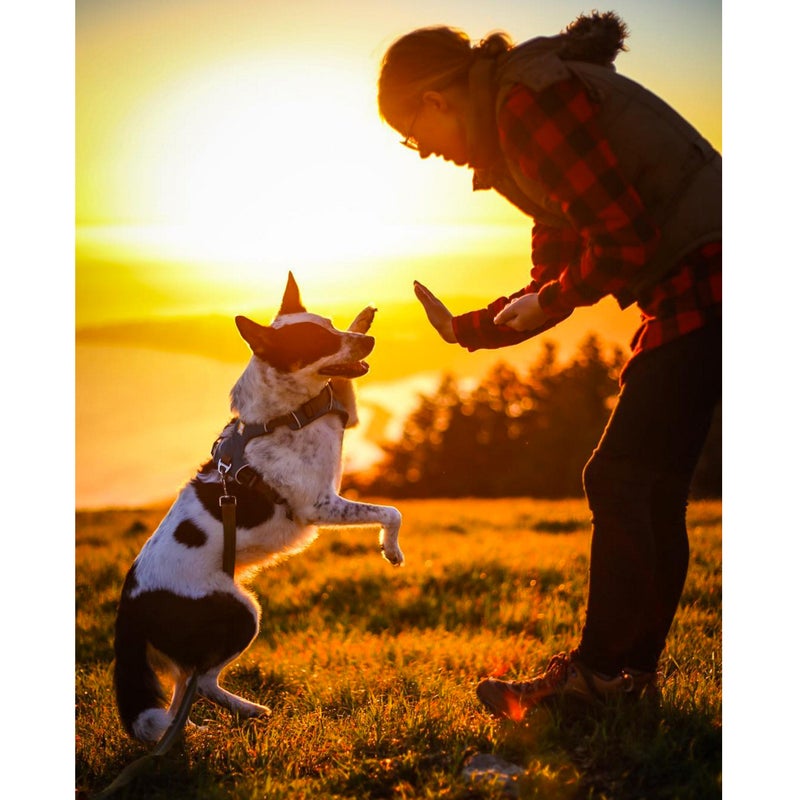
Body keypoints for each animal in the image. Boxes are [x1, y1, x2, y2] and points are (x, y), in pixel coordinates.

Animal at [113, 272, 404, 740]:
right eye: (319, 342)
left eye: (331, 324)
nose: (370, 341)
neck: (283, 415)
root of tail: (129, 606)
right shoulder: (319, 505)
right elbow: (391, 512)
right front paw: (391, 549)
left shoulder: (344, 415)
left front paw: (364, 316)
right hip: (242, 611)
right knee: (202, 681)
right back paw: (245, 711)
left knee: (183, 686)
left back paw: (189, 733)